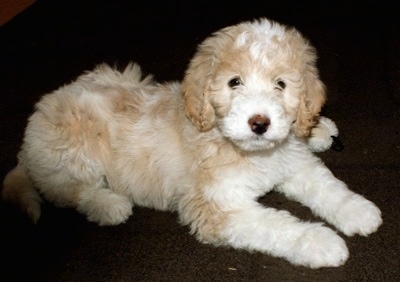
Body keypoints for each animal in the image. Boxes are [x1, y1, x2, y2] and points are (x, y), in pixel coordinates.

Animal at [1, 18, 382, 268]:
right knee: (70, 191)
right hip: (74, 148)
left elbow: (327, 186)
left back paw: (320, 130)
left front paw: (357, 211)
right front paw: (320, 241)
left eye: (281, 84)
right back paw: (109, 205)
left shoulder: (294, 163)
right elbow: (275, 225)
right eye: (234, 82)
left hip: (120, 75)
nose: (260, 123)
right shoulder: (217, 207)